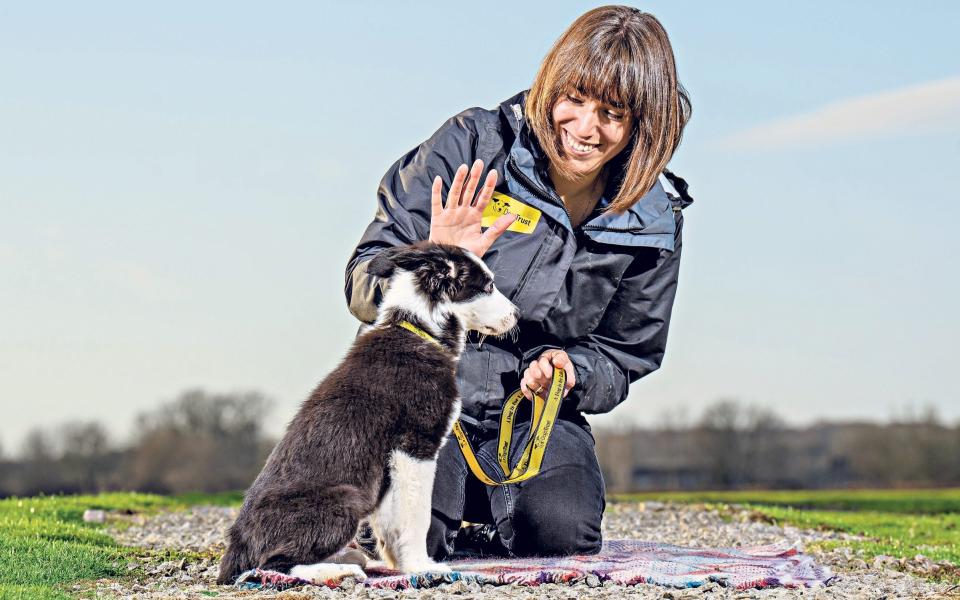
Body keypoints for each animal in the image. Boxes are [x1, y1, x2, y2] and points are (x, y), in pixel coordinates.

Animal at [218, 241, 516, 584]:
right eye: (488, 286)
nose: (517, 315)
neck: (419, 329)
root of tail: (235, 550)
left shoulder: (392, 462)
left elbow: (391, 520)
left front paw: (398, 565)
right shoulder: (416, 444)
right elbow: (417, 515)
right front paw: (421, 566)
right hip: (347, 499)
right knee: (272, 564)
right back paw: (339, 569)